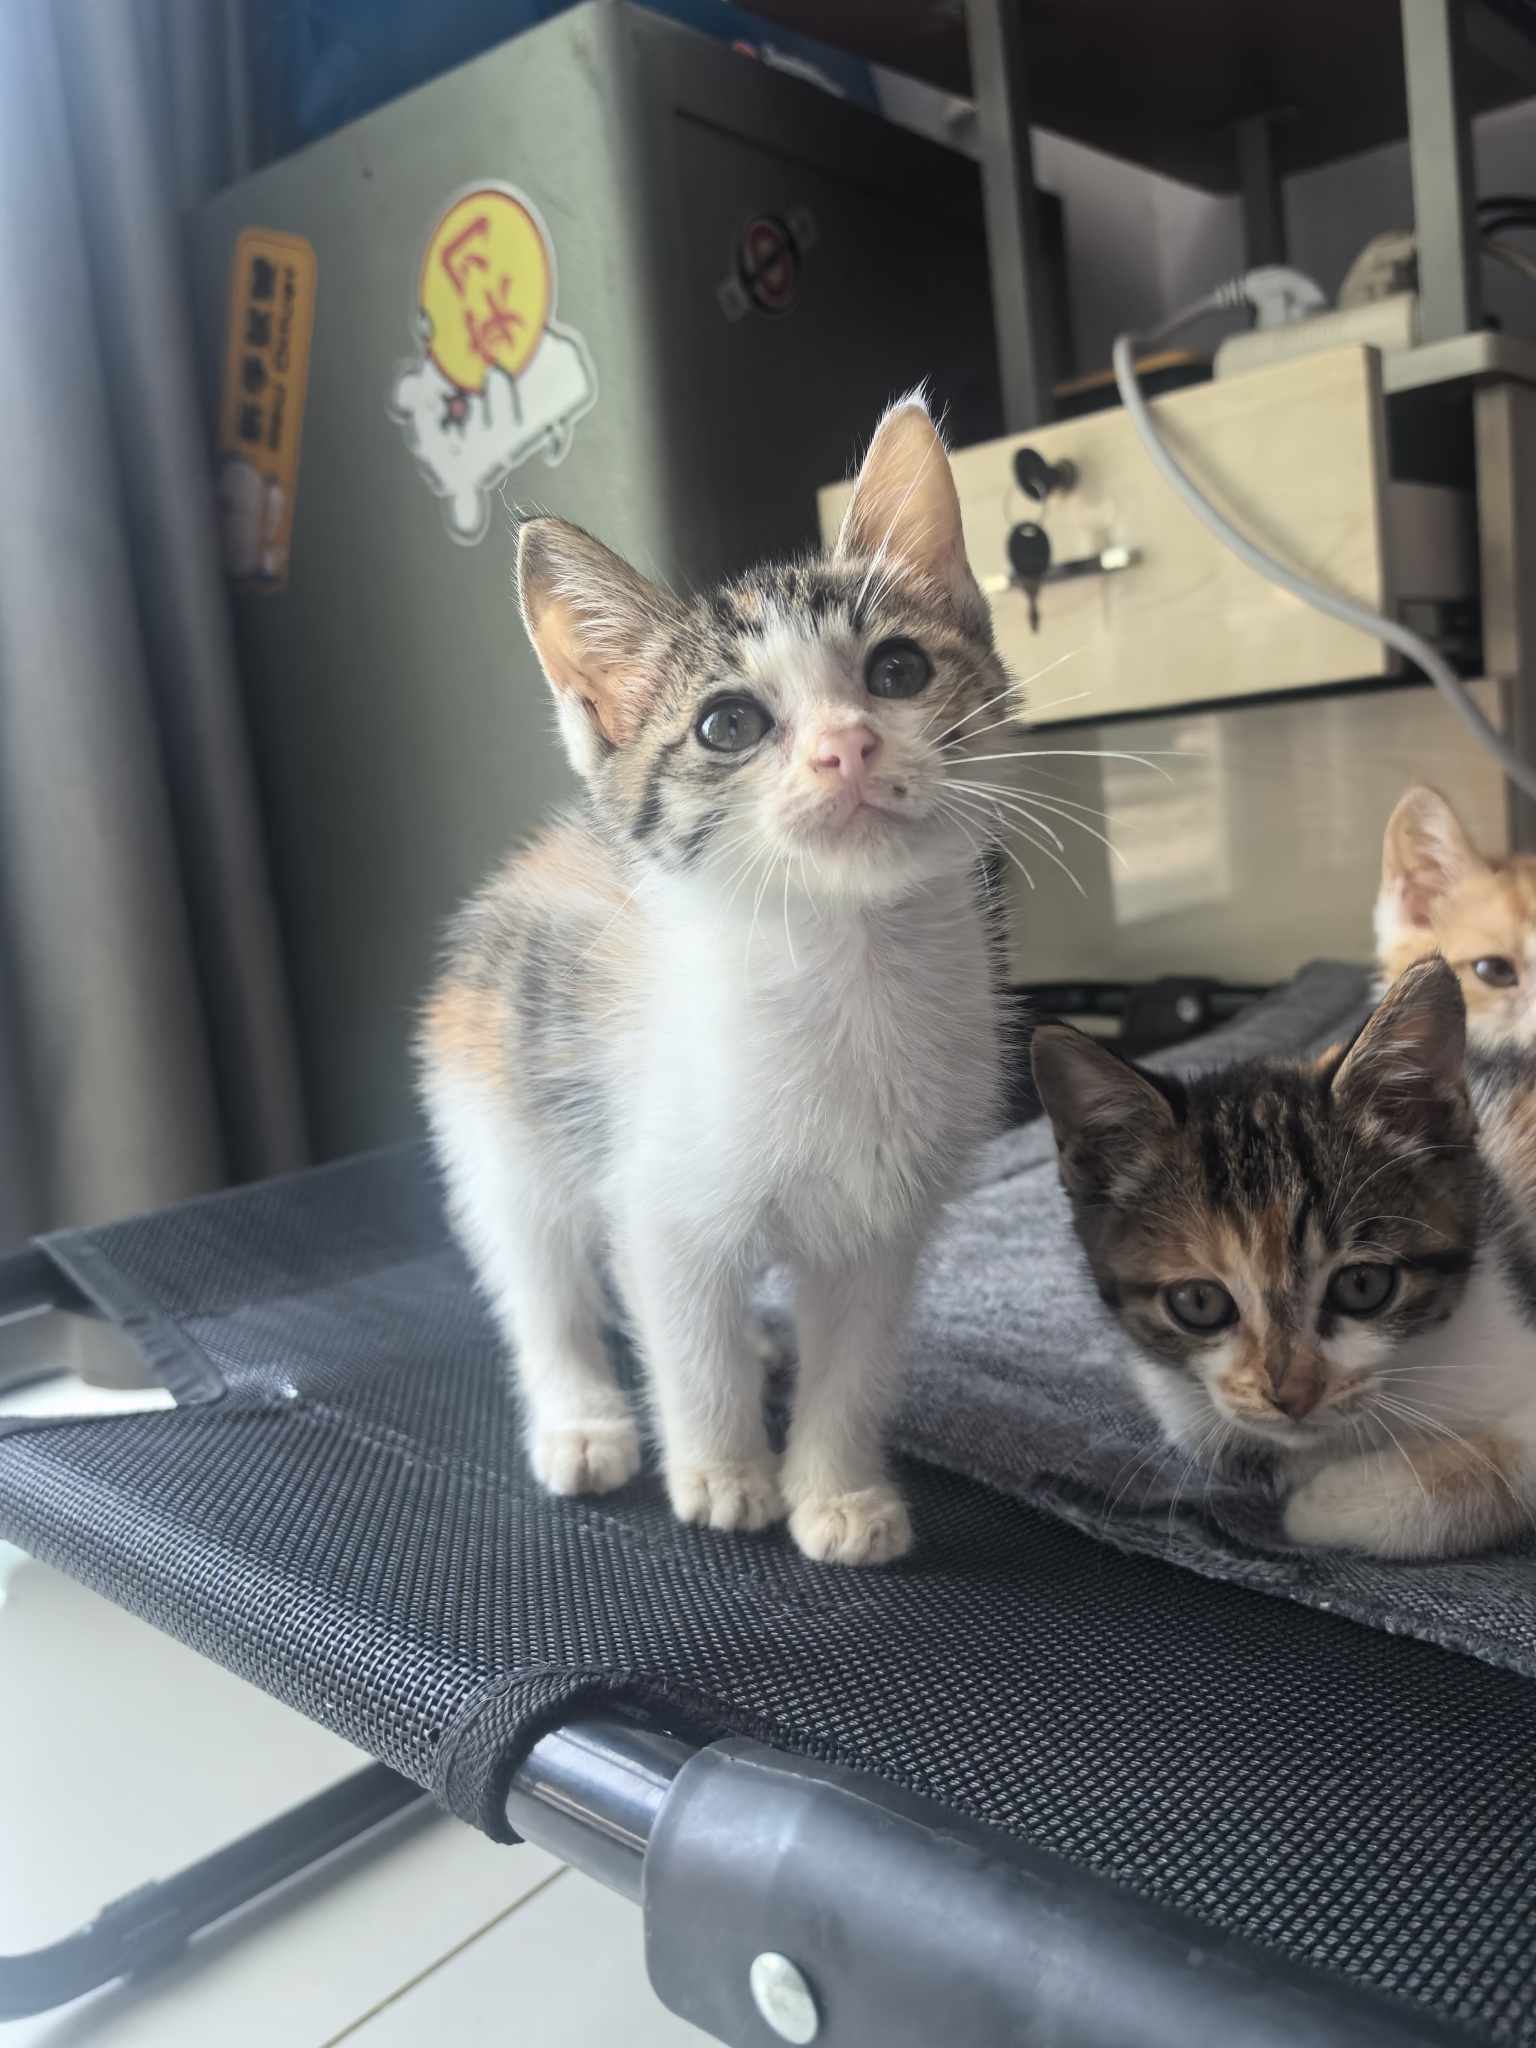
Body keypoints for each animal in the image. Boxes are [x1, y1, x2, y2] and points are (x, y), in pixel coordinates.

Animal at [418, 399, 1010, 1566]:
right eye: (728, 725)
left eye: (897, 672)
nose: (846, 747)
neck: (846, 971)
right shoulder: (662, 1194)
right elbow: (684, 1338)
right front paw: (724, 1473)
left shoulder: (880, 1224)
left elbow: (853, 1358)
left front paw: (837, 1493)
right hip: (496, 1121)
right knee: (540, 1282)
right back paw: (583, 1420)